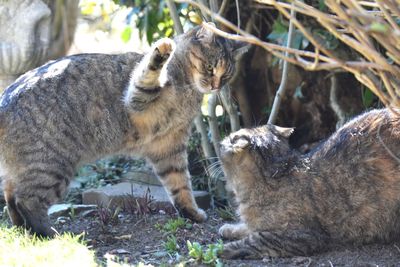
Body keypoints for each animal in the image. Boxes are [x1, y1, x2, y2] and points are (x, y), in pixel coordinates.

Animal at [0, 23, 247, 237]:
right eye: (210, 67)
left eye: (226, 75)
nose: (215, 86)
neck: (188, 88)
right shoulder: (136, 99)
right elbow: (149, 69)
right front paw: (162, 50)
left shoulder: (169, 146)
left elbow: (181, 185)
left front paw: (192, 213)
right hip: (52, 167)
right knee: (27, 200)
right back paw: (49, 233)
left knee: (12, 197)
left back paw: (25, 229)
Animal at [217, 108, 400, 260]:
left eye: (228, 139)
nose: (220, 142)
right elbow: (248, 227)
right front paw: (229, 228)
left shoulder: (301, 236)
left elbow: (254, 240)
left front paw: (220, 249)